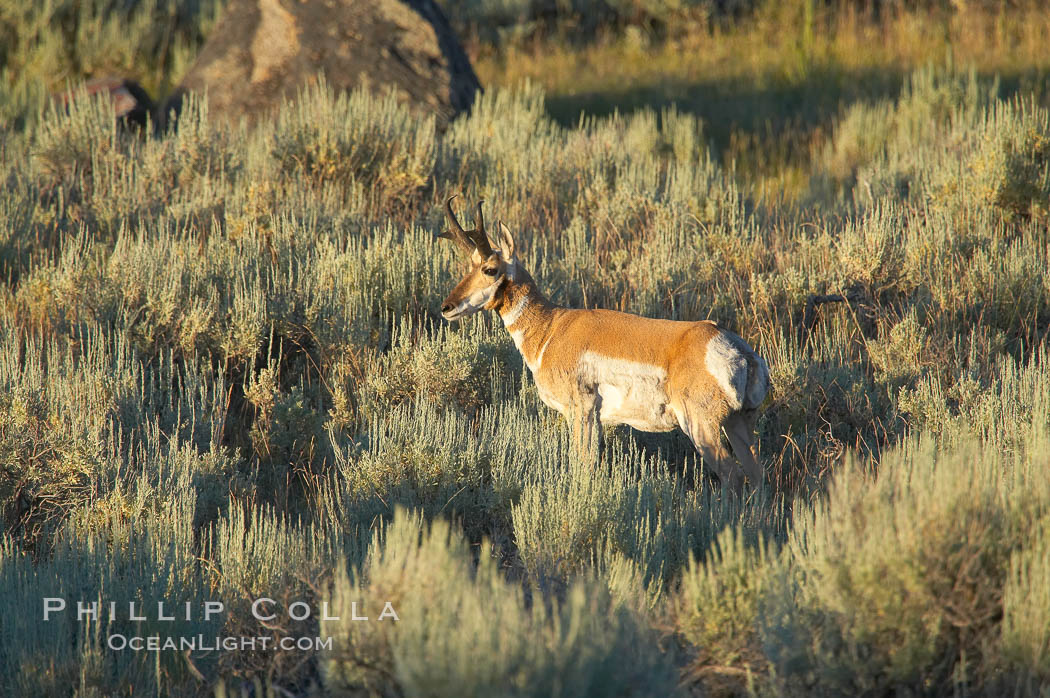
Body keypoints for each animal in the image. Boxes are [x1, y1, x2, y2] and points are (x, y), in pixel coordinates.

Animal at [434, 196, 772, 489]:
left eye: (490, 269)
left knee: (733, 476)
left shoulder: (580, 411)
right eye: (469, 266)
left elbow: (580, 464)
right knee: (757, 476)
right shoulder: (594, 419)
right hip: (740, 423)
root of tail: (739, 350)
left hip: (701, 426)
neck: (550, 328)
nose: (447, 307)